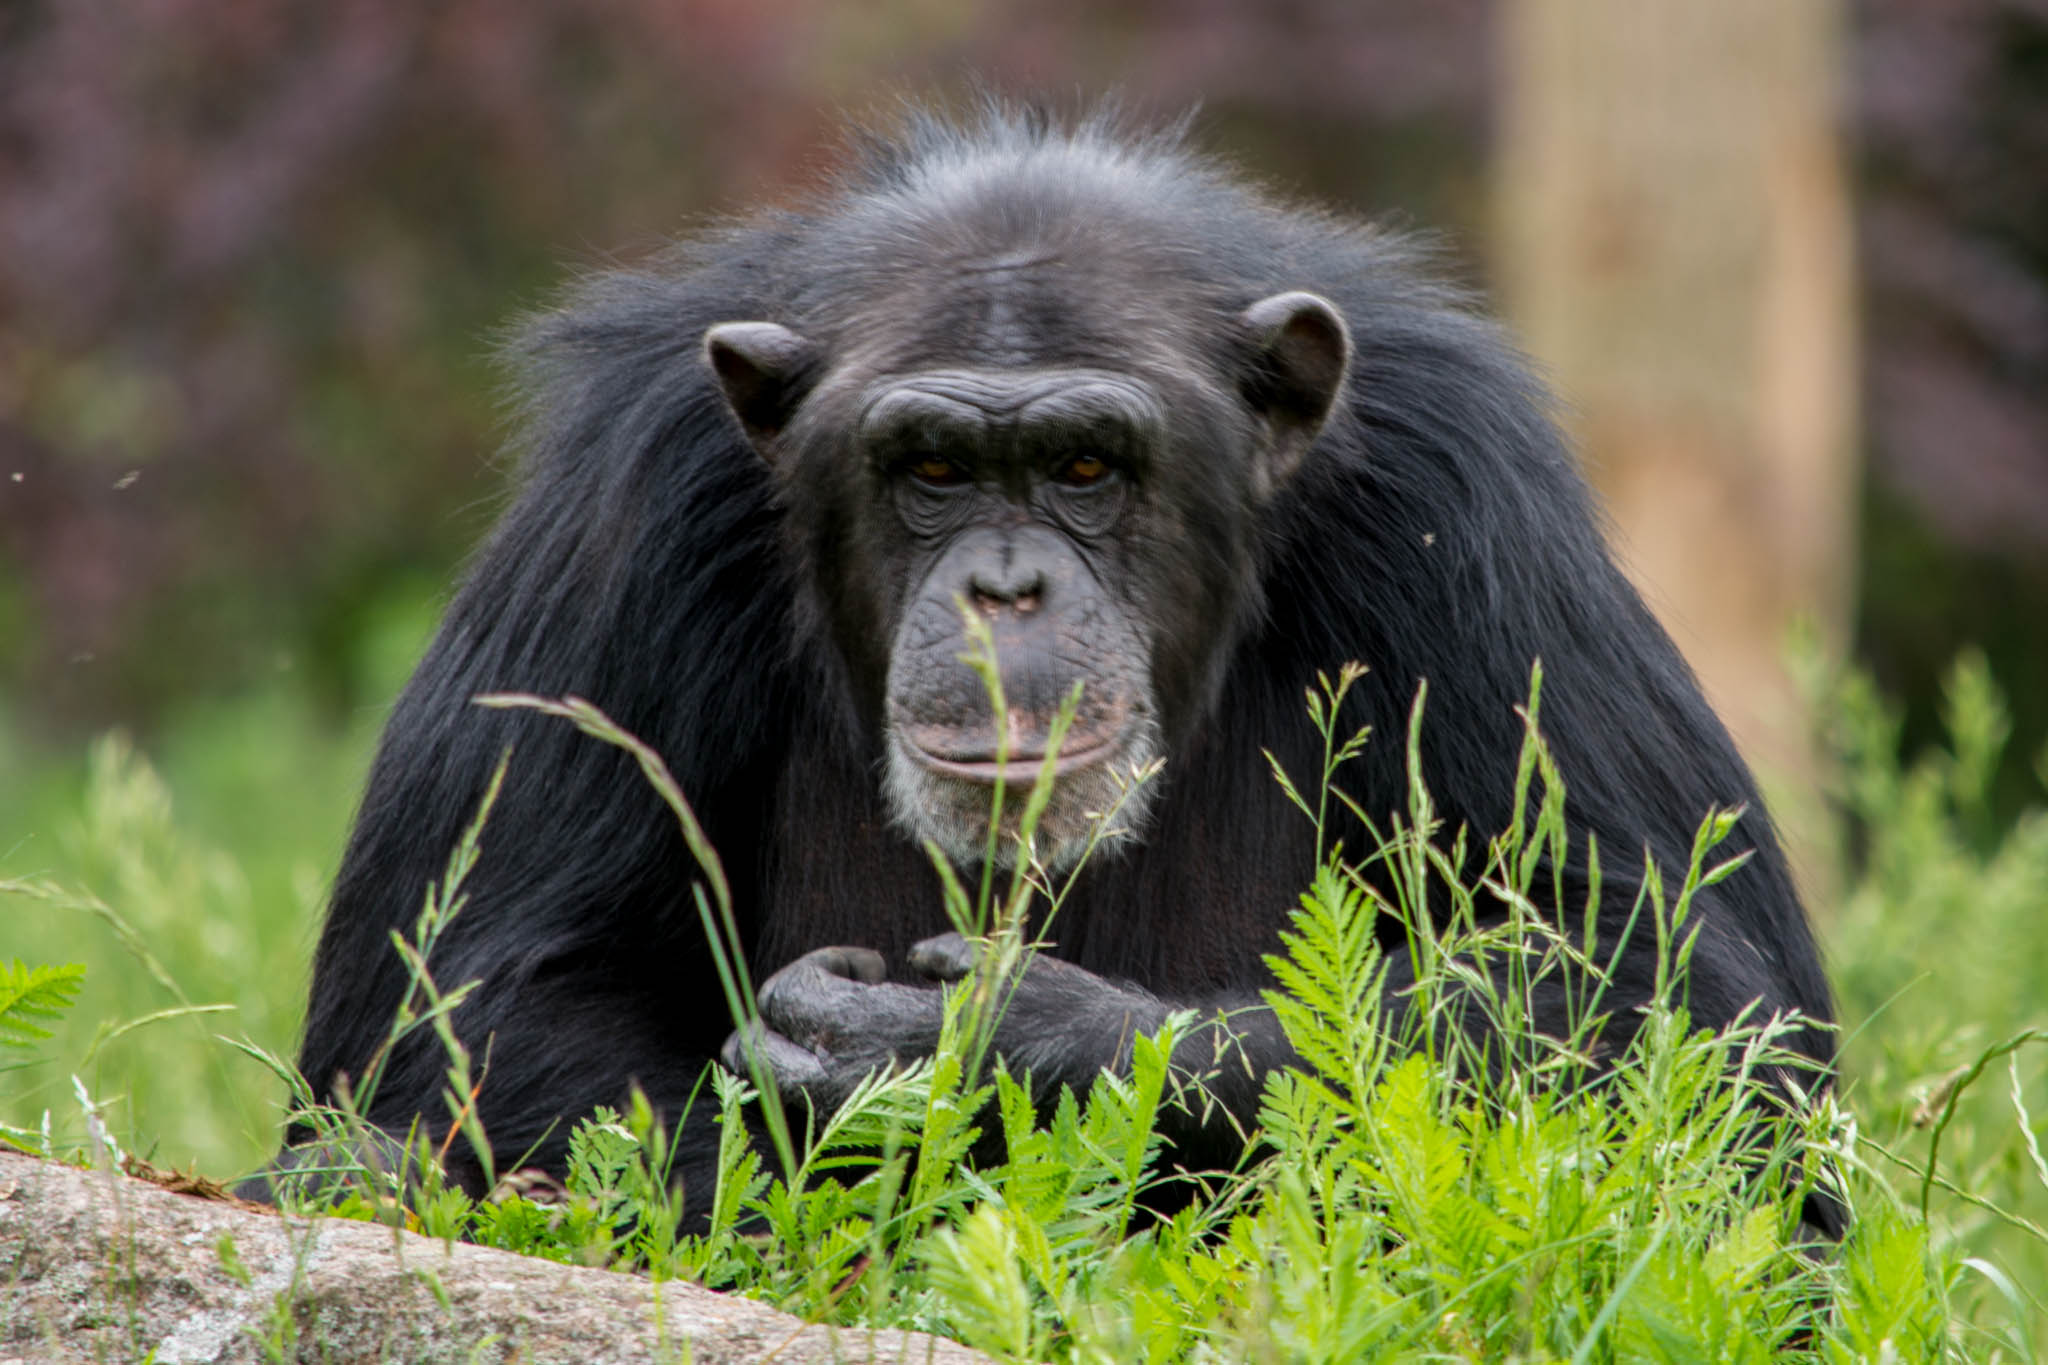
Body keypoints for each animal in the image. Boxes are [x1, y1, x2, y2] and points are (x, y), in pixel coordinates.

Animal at [260, 101, 1843, 1219]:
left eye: (1085, 465)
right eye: (933, 468)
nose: (1004, 586)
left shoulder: (1464, 491)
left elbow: (1674, 972)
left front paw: (979, 1043)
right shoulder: (626, 487)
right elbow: (480, 990)